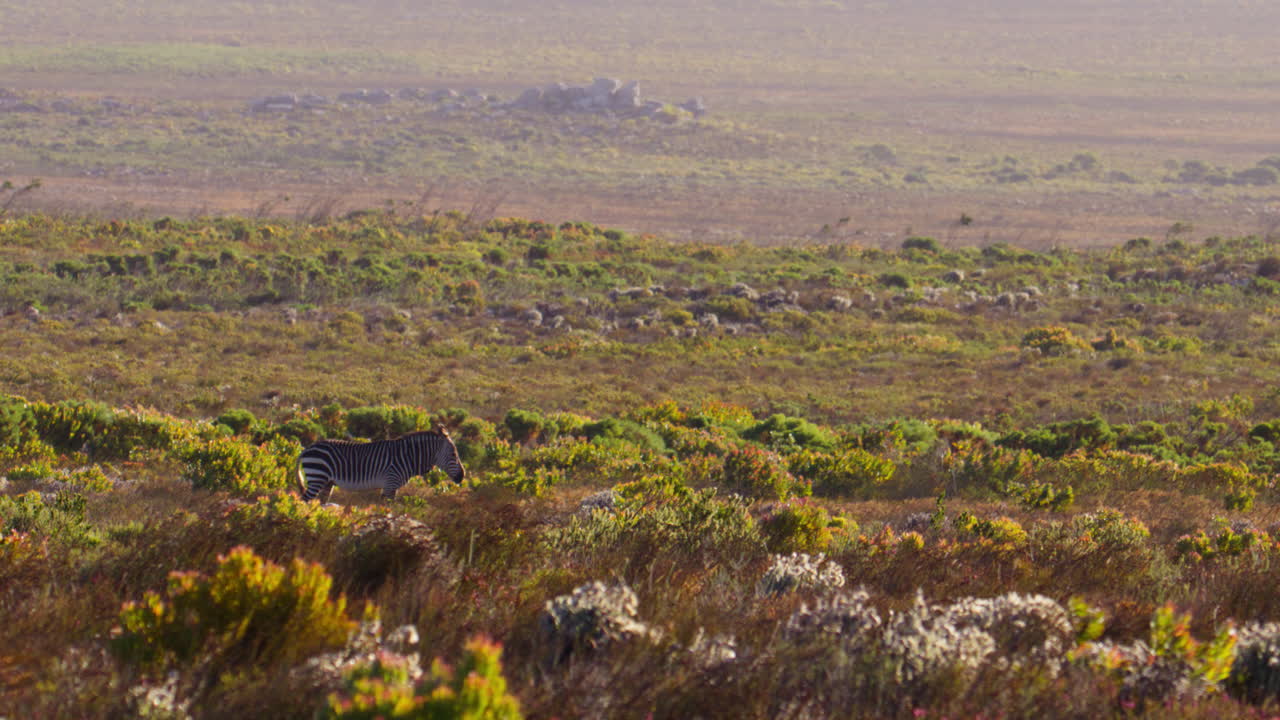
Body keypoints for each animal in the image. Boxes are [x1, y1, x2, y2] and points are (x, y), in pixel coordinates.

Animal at [296, 429, 465, 501]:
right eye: (454, 455)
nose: (462, 477)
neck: (408, 457)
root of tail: (307, 449)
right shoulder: (390, 484)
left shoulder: (391, 487)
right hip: (317, 477)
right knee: (304, 500)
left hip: (327, 482)